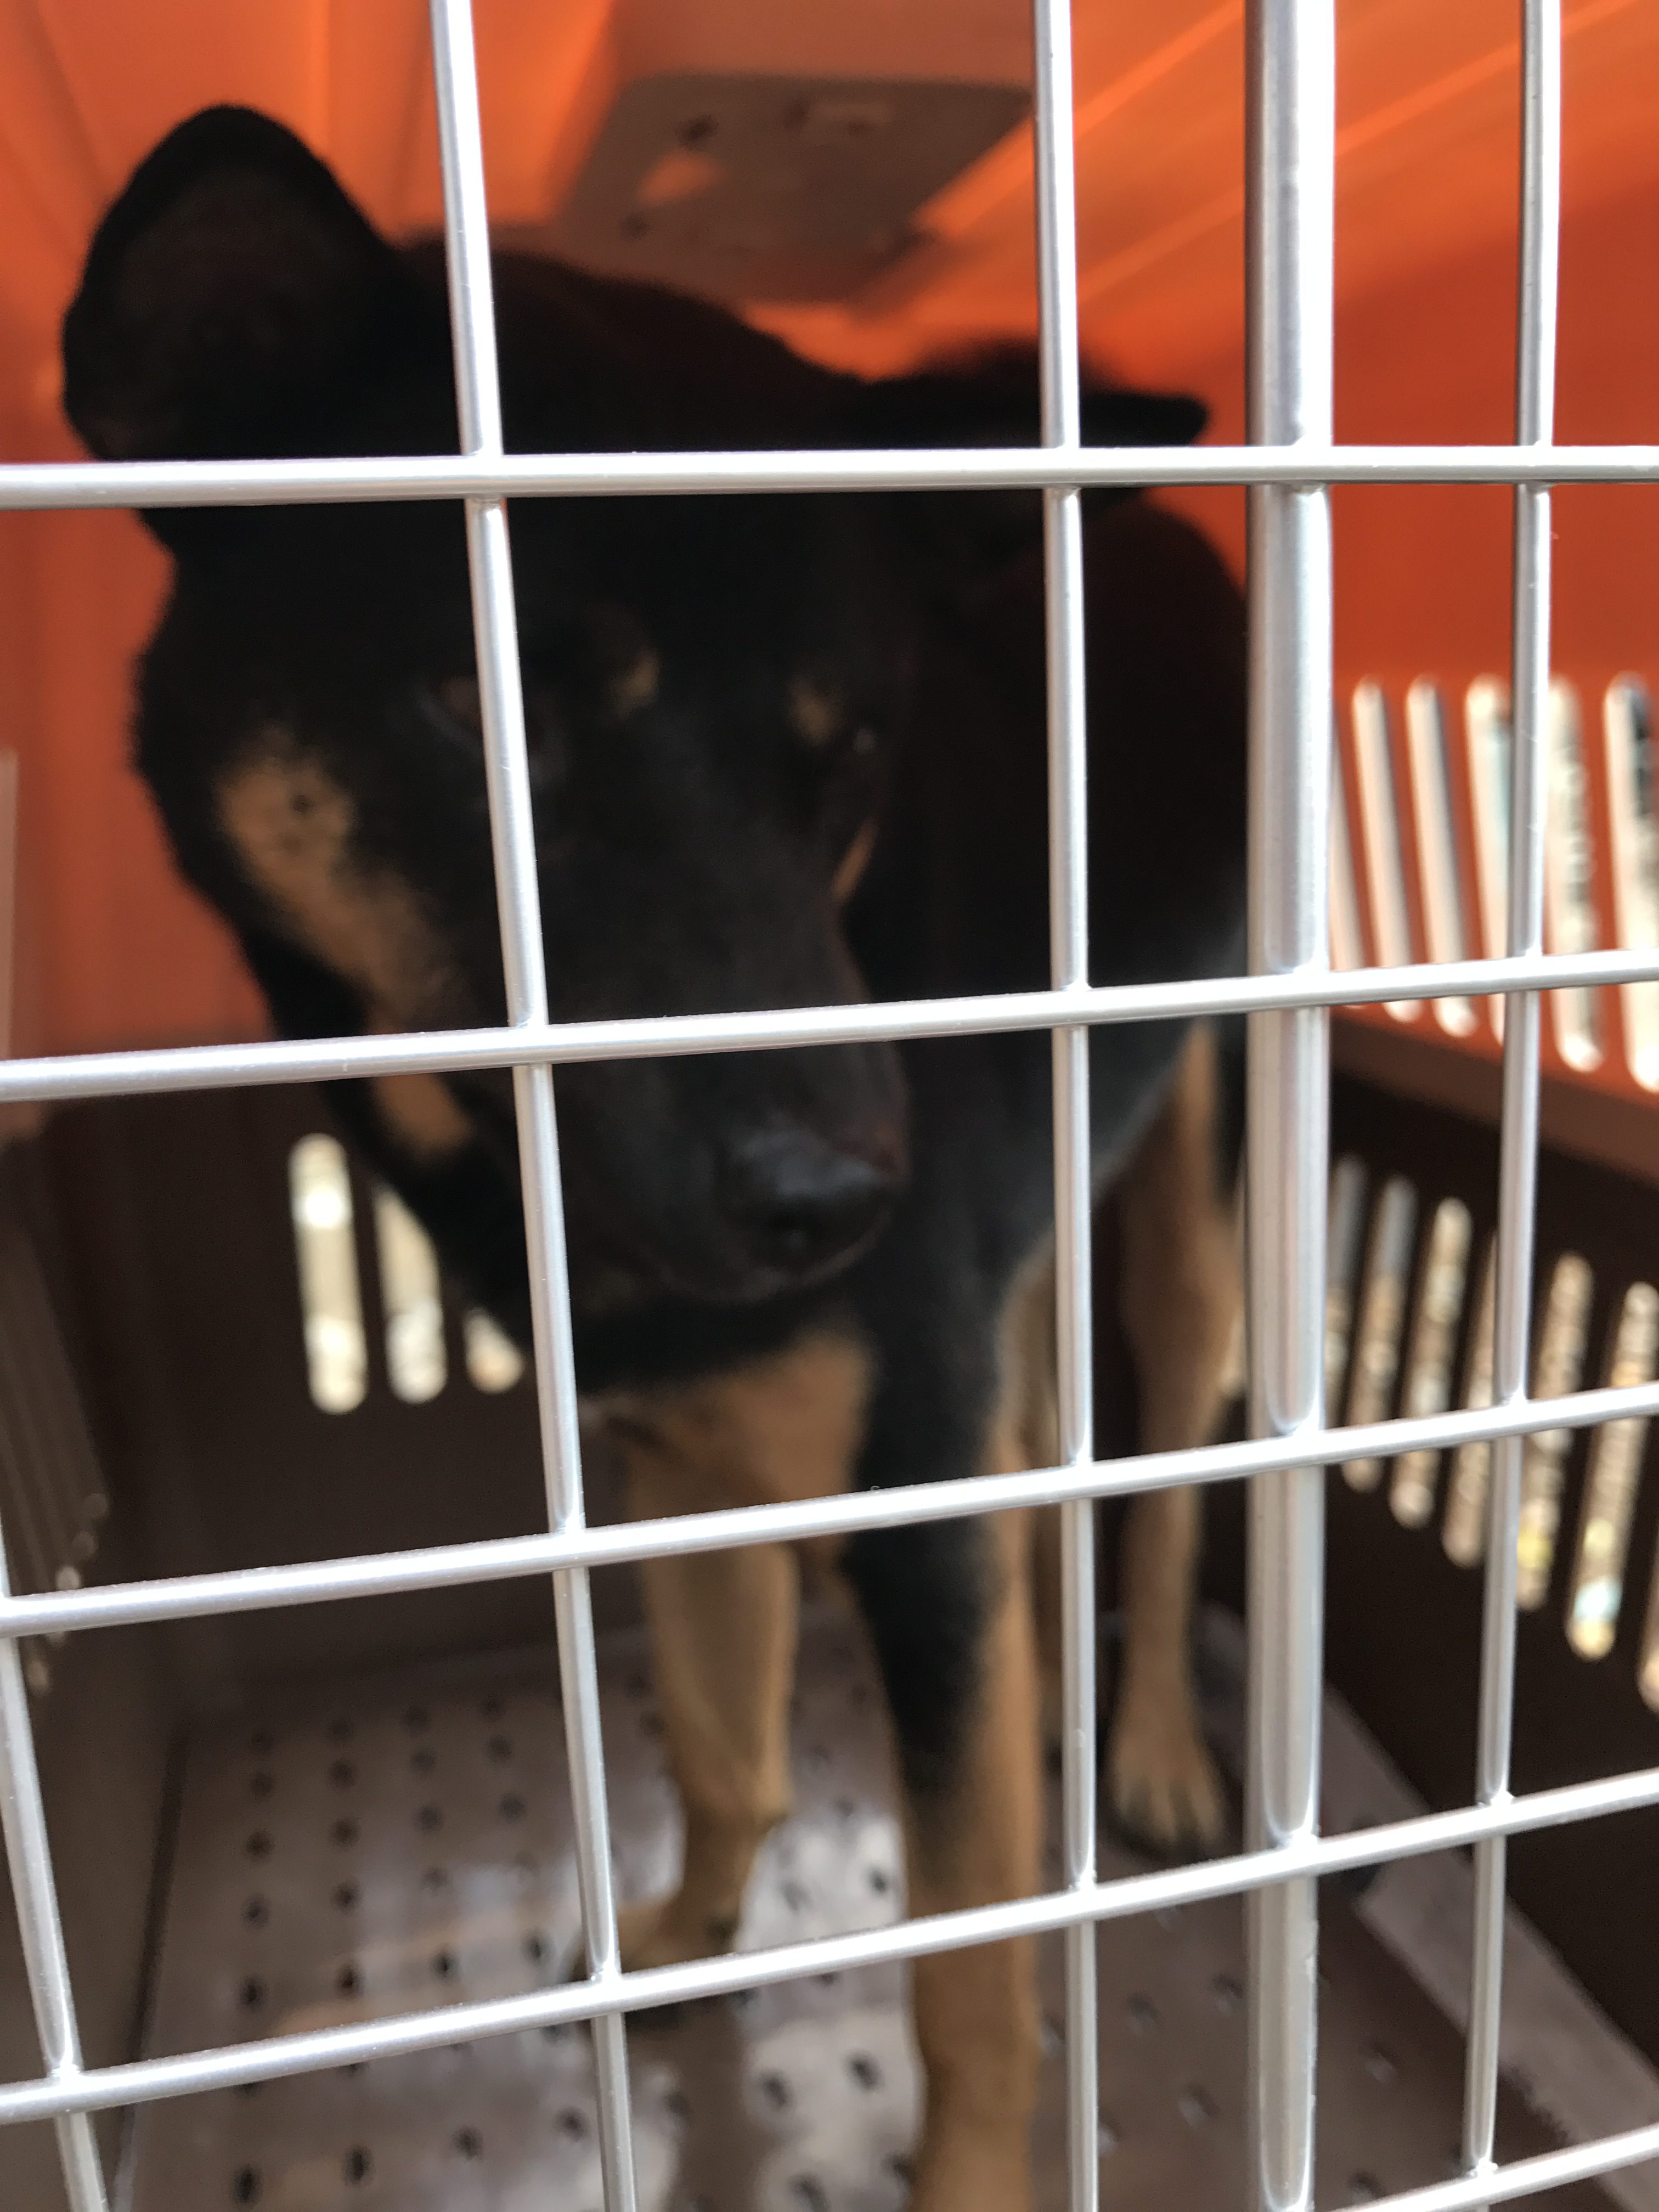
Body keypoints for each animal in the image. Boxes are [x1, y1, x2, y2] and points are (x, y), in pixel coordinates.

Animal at [63, 106, 1247, 2209]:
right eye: (489, 708)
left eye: (850, 754)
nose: (839, 1201)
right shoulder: (684, 1451)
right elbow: (720, 1742)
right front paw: (684, 1945)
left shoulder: (907, 1480)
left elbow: (969, 1968)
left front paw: (972, 2160)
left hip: (1195, 1179)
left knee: (1175, 1449)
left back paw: (1161, 1750)